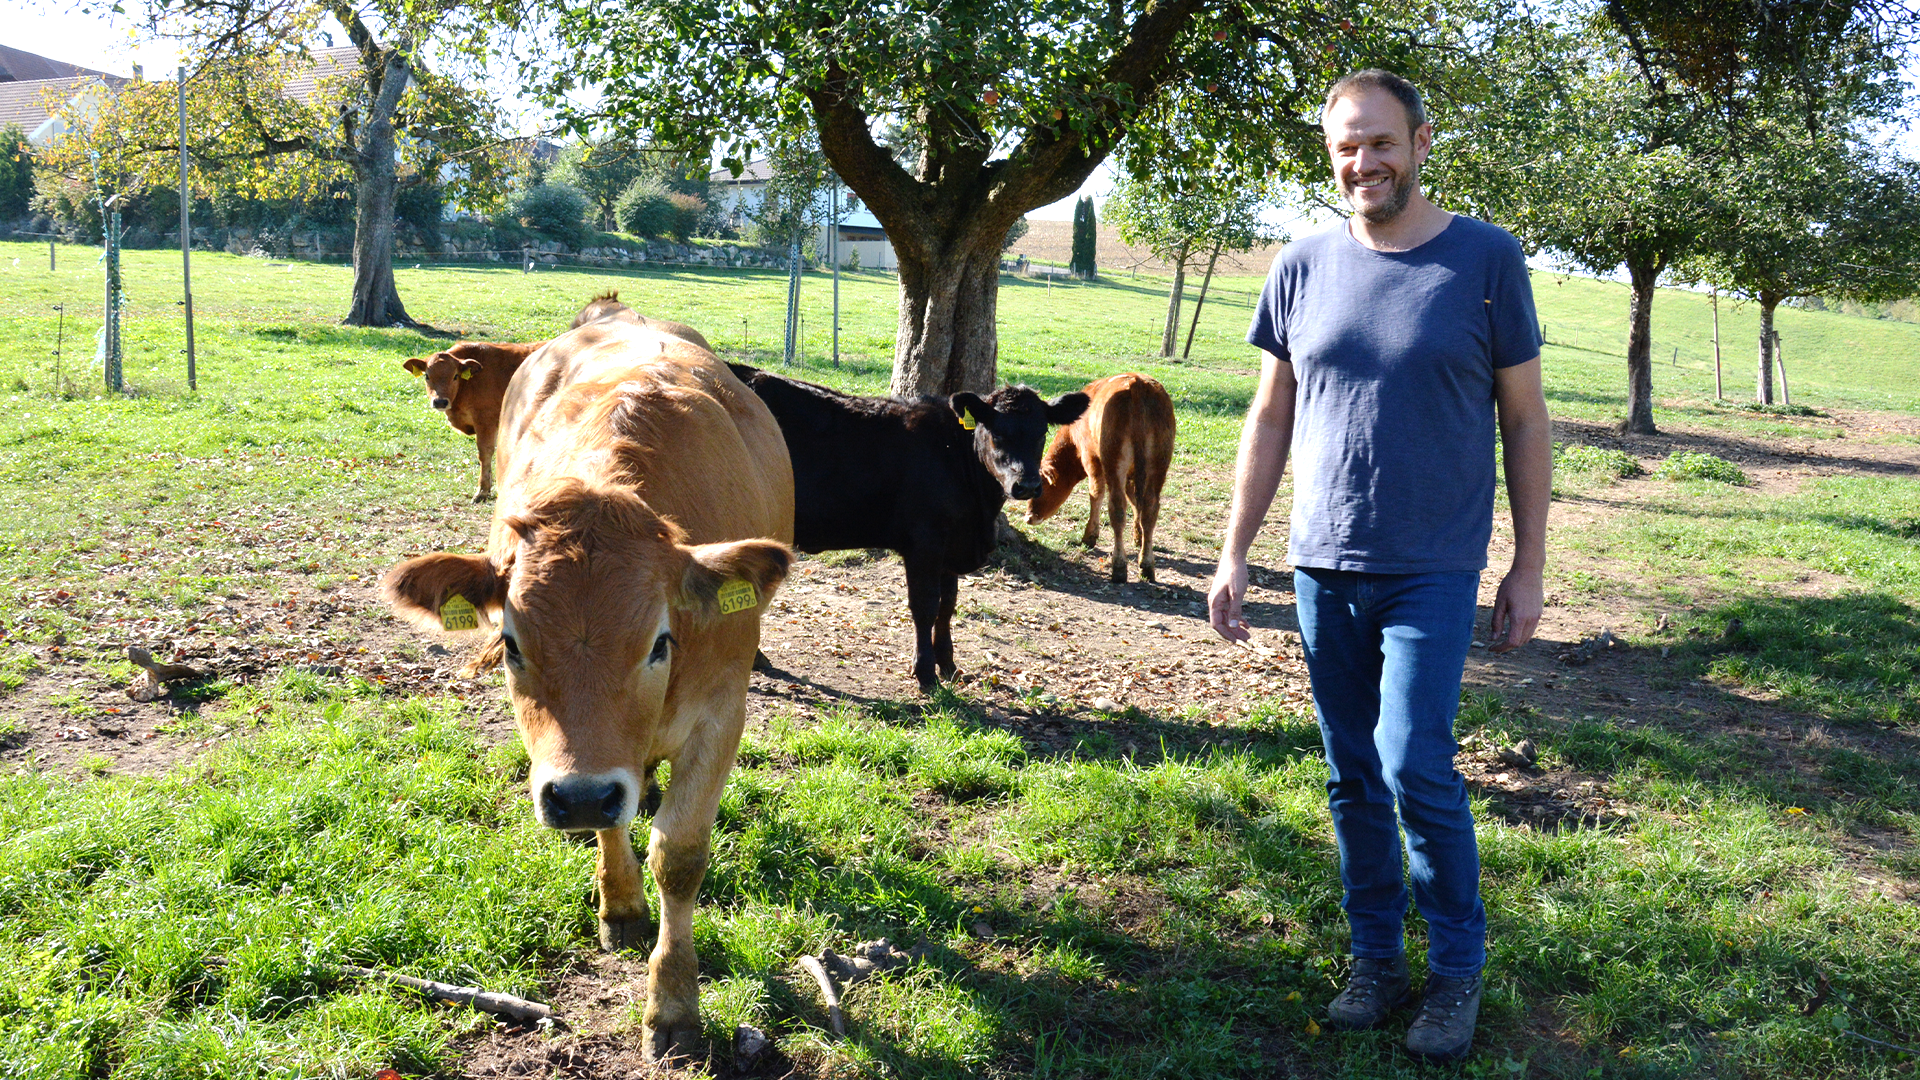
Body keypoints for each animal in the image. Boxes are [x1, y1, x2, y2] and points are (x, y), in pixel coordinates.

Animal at [401, 340, 545, 499]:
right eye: (427, 375)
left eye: (455, 376)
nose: (440, 402)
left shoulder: (485, 420)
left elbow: (485, 453)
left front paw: (482, 491)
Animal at [725, 363, 1090, 687]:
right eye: (997, 433)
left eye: (1042, 432)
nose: (1026, 485)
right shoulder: (924, 542)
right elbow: (925, 605)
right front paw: (925, 672)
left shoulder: (951, 547)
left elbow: (947, 606)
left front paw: (949, 665)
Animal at [1029, 374, 1175, 584]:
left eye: (1039, 489)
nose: (1028, 517)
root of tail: (1137, 383)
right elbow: (1134, 501)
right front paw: (1138, 537)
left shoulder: (1091, 459)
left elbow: (1096, 494)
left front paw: (1090, 536)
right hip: (1159, 462)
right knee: (1149, 507)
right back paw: (1147, 565)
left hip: (1114, 460)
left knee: (1117, 508)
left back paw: (1119, 567)